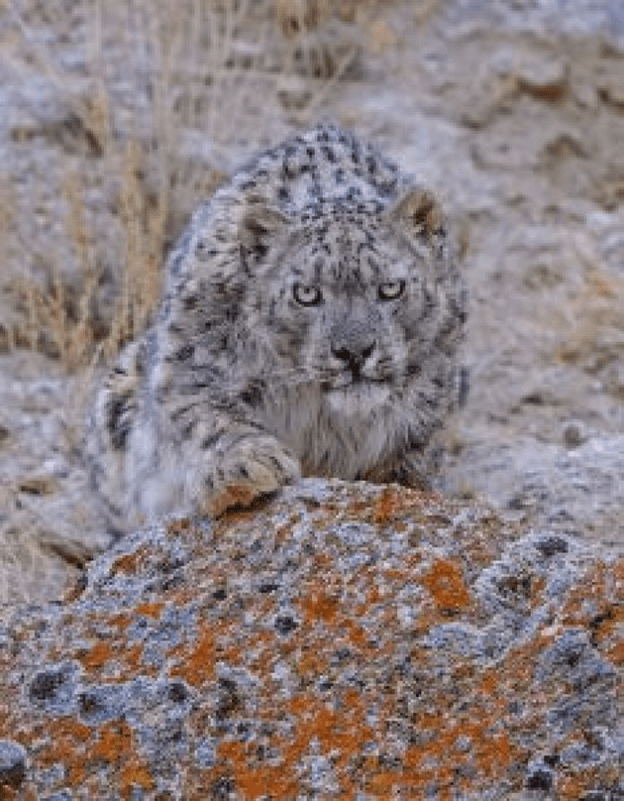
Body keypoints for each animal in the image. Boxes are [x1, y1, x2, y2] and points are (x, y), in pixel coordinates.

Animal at [89, 125, 468, 528]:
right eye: (307, 293)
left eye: (391, 288)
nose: (354, 351)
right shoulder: (192, 358)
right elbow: (205, 413)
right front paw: (242, 467)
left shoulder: (434, 390)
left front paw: (406, 483)